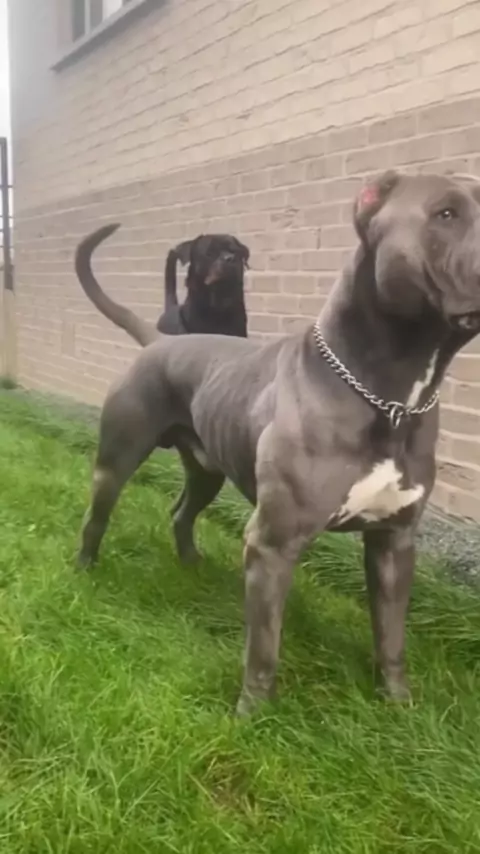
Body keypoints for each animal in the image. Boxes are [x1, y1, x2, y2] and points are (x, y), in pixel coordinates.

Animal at [74, 171, 480, 716]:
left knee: (182, 511)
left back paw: (191, 564)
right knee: (97, 515)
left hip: (207, 469)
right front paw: (252, 714)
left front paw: (398, 705)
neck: (391, 396)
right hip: (116, 460)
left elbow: (391, 637)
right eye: (446, 214)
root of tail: (161, 340)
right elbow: (264, 644)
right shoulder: (273, 542)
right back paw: (85, 570)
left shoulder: (394, 542)